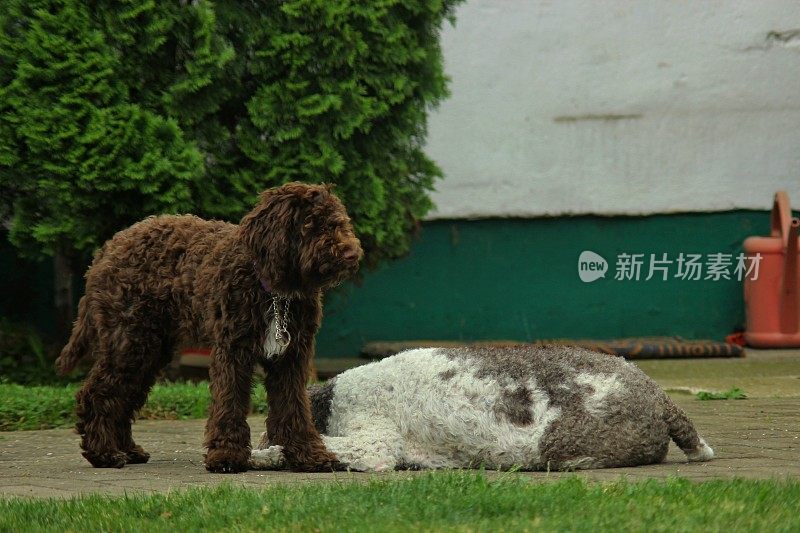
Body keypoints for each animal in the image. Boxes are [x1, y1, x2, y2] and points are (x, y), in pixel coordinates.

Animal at [57, 182, 364, 470]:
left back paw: (128, 450)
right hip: (129, 342)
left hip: (149, 348)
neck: (273, 290)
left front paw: (308, 455)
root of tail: (108, 247)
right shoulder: (233, 352)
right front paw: (227, 455)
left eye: (339, 222)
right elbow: (230, 403)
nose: (351, 253)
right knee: (97, 394)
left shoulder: (291, 358)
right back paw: (103, 453)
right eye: (311, 223)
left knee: (123, 398)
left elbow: (295, 407)